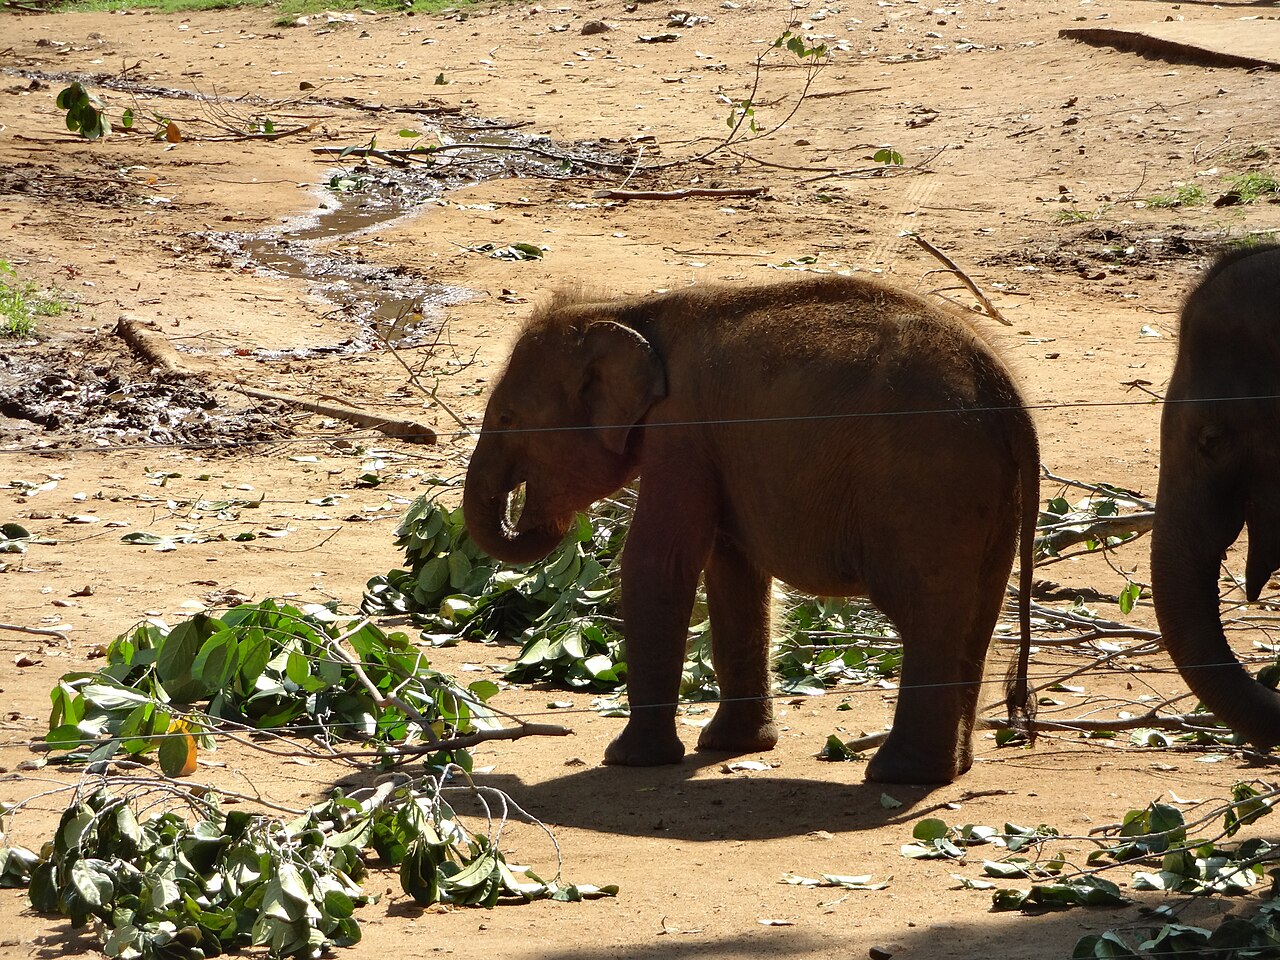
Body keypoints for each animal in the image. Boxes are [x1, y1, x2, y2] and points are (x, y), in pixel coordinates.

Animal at [463, 275, 1040, 784]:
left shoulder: (681, 430)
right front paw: (731, 747)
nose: (530, 513)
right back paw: (949, 770)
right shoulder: (715, 445)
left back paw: (899, 775)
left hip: (926, 488)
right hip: (986, 496)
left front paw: (628, 760)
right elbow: (733, 568)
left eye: (508, 417)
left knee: (926, 610)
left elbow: (659, 561)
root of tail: (1010, 400)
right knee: (973, 613)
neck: (631, 309)